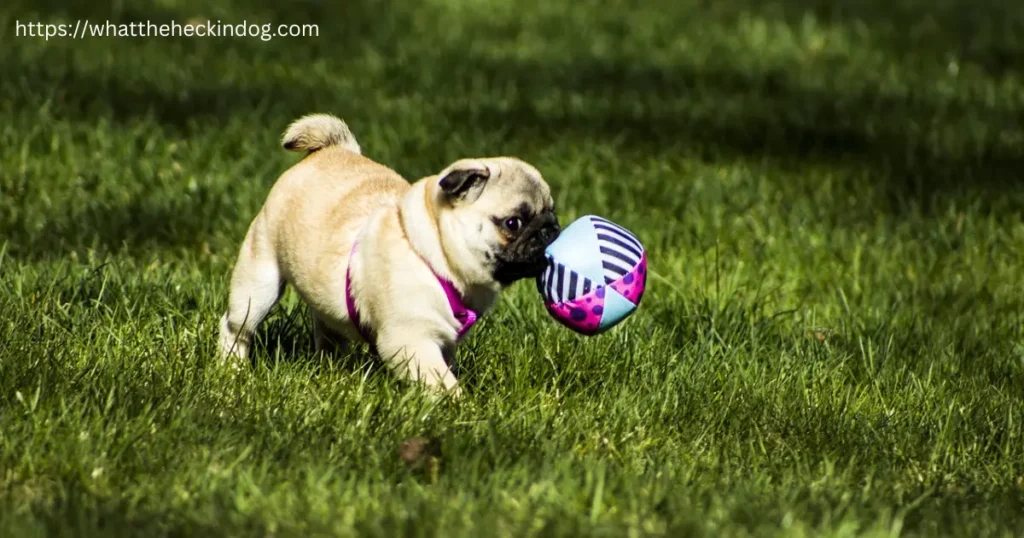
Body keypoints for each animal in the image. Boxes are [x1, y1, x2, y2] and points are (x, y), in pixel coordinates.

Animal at [215, 113, 561, 395]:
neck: (432, 254)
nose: (551, 228)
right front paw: (458, 407)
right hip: (259, 283)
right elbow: (443, 382)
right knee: (236, 327)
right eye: (513, 223)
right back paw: (233, 369)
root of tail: (333, 149)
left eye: (552, 211)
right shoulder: (411, 341)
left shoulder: (442, 342)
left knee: (326, 331)